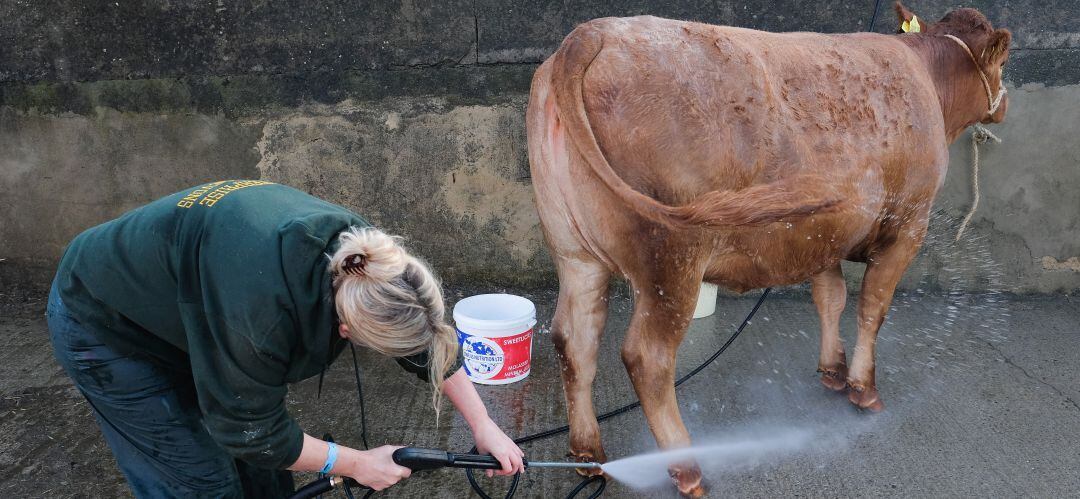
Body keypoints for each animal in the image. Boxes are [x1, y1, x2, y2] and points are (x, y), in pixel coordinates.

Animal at [527, 2, 1006, 494]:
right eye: (1003, 62)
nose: (1003, 106)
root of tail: (590, 34)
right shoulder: (908, 227)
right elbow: (872, 307)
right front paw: (863, 389)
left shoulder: (824, 235)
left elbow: (830, 298)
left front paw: (832, 371)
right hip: (671, 261)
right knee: (647, 357)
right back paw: (687, 468)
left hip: (575, 254)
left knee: (574, 338)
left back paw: (587, 454)